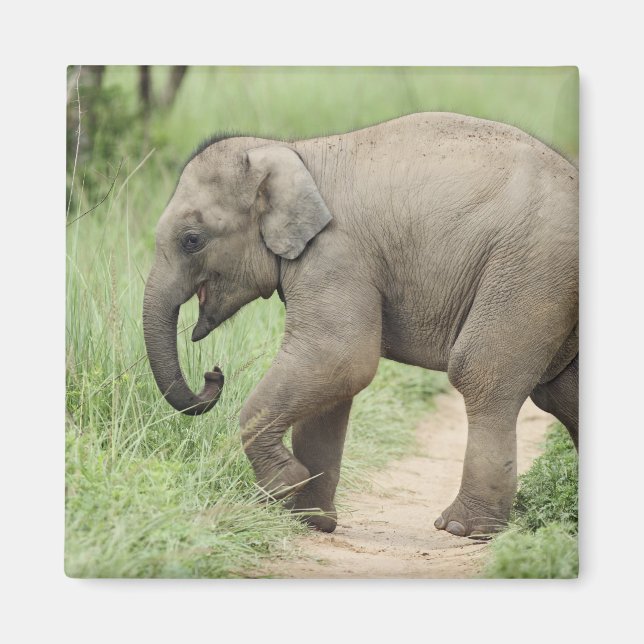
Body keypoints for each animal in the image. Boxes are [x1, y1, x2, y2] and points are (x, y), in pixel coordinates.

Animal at [143, 112, 578, 537]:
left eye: (192, 240)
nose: (213, 374)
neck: (291, 151)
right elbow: (333, 382)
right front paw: (309, 519)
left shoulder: (335, 253)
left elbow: (340, 358)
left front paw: (287, 484)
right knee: (562, 393)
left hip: (530, 272)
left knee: (482, 373)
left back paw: (461, 528)